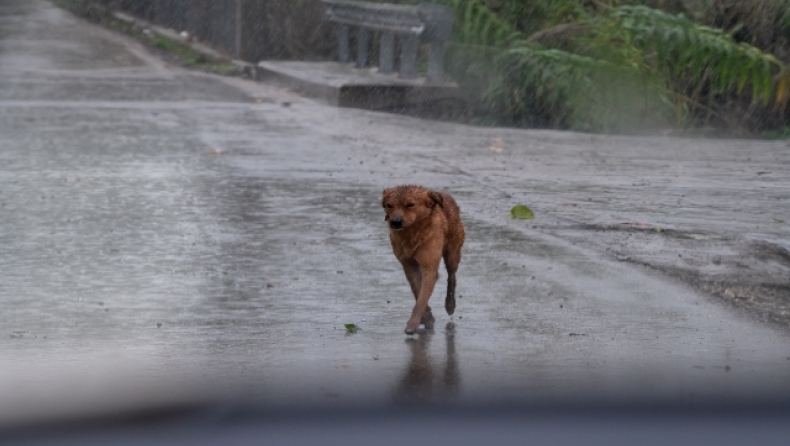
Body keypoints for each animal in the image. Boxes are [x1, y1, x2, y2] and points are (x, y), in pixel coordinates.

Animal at [382, 185, 464, 334]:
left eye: (410, 204)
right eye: (389, 205)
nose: (395, 222)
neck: (412, 233)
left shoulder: (429, 267)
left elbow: (421, 299)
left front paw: (413, 324)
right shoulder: (408, 265)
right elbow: (417, 290)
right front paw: (427, 318)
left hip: (453, 252)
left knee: (452, 276)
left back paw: (450, 304)